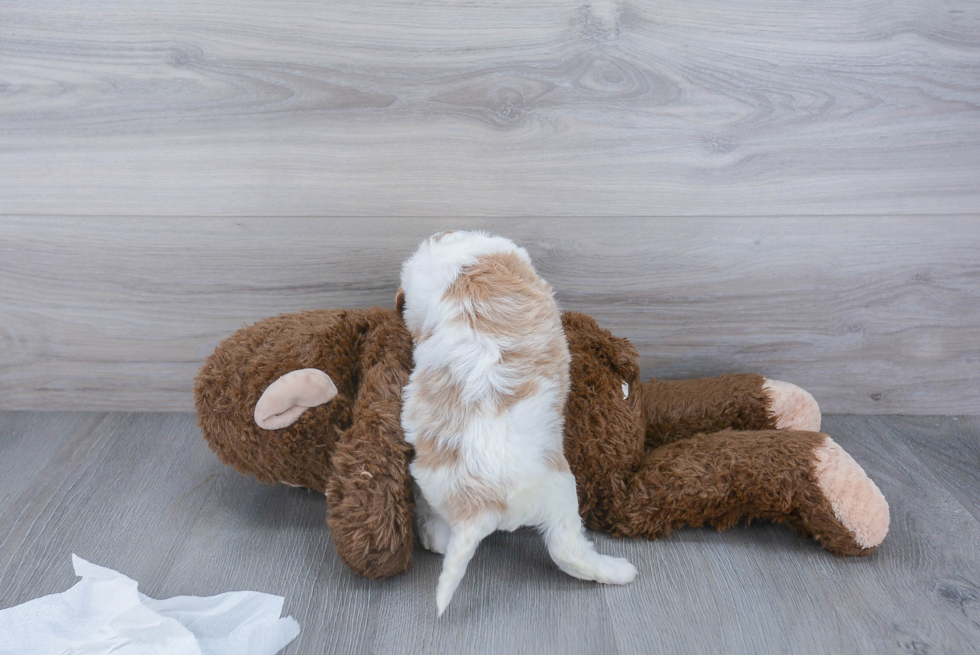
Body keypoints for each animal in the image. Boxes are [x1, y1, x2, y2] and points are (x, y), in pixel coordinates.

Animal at [398, 233, 636, 616]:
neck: (464, 264)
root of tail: (477, 505)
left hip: (431, 485)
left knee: (438, 529)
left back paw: (433, 535)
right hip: (560, 489)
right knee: (567, 549)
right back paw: (616, 571)